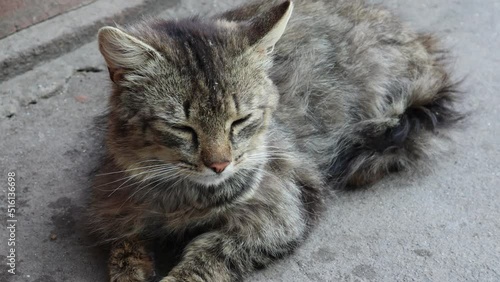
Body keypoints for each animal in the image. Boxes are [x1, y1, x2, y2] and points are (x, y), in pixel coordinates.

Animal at [89, 1, 460, 280]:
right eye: (182, 128)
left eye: (240, 121)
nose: (219, 164)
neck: (185, 196)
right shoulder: (115, 200)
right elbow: (124, 244)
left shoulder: (280, 213)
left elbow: (208, 255)